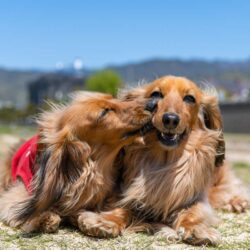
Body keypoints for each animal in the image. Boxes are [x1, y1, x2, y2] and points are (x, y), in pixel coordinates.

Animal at [0, 91, 151, 235]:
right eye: (104, 112)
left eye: (114, 98)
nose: (151, 103)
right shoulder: (18, 193)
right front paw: (43, 217)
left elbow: (126, 211)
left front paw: (106, 222)